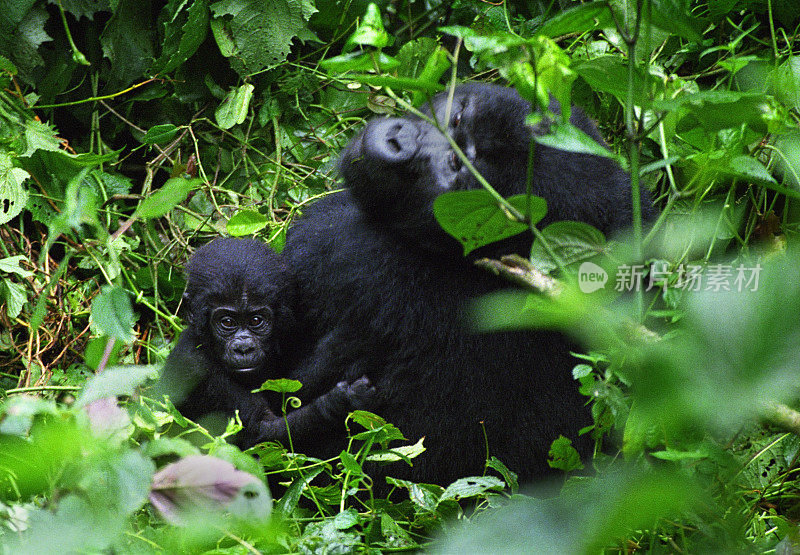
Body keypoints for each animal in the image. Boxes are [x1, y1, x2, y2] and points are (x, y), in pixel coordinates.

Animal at [162, 238, 378, 448]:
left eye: (256, 320)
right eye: (227, 322)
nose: (244, 348)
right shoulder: (195, 365)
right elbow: (263, 432)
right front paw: (341, 402)